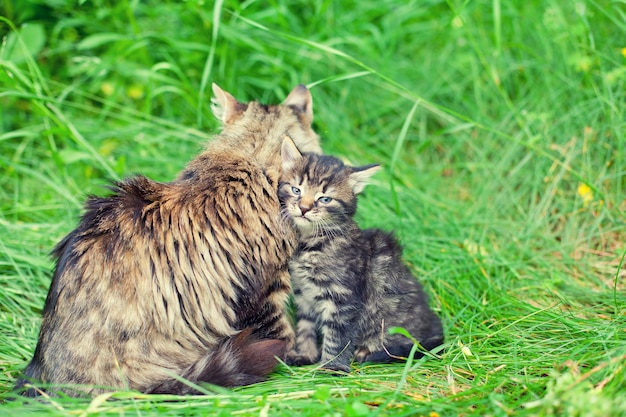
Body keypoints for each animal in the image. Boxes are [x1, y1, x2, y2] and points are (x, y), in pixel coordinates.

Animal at [276, 138, 442, 372]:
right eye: (296, 189)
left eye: (325, 199)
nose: (304, 208)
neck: (310, 243)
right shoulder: (304, 294)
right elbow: (305, 326)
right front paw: (305, 354)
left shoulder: (343, 298)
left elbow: (336, 336)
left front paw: (332, 368)